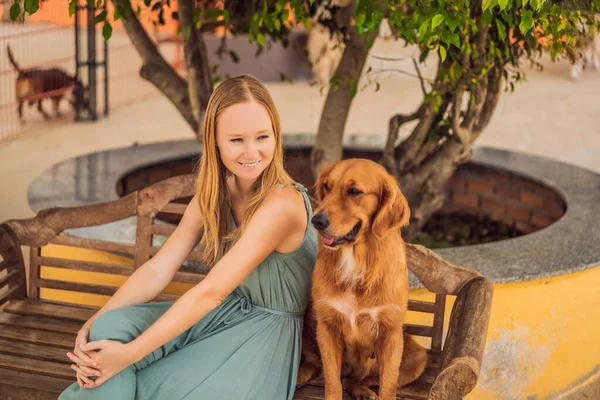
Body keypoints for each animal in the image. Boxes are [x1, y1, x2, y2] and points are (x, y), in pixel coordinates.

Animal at [296, 159, 426, 400]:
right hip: (309, 317)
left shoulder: (390, 332)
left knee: (357, 379)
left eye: (354, 191)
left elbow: (387, 386)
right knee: (321, 366)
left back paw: (364, 391)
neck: (356, 260)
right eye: (326, 187)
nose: (316, 221)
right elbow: (332, 382)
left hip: (419, 358)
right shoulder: (327, 325)